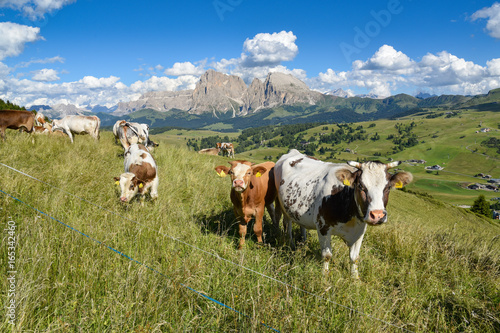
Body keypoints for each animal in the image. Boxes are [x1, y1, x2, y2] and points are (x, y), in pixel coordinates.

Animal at [276, 148, 412, 278]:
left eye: (388, 187)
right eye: (360, 186)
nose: (377, 215)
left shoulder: (360, 230)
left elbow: (354, 257)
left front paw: (355, 278)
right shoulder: (323, 227)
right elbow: (327, 255)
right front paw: (325, 277)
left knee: (301, 226)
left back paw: (303, 243)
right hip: (282, 206)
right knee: (287, 225)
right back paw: (291, 244)